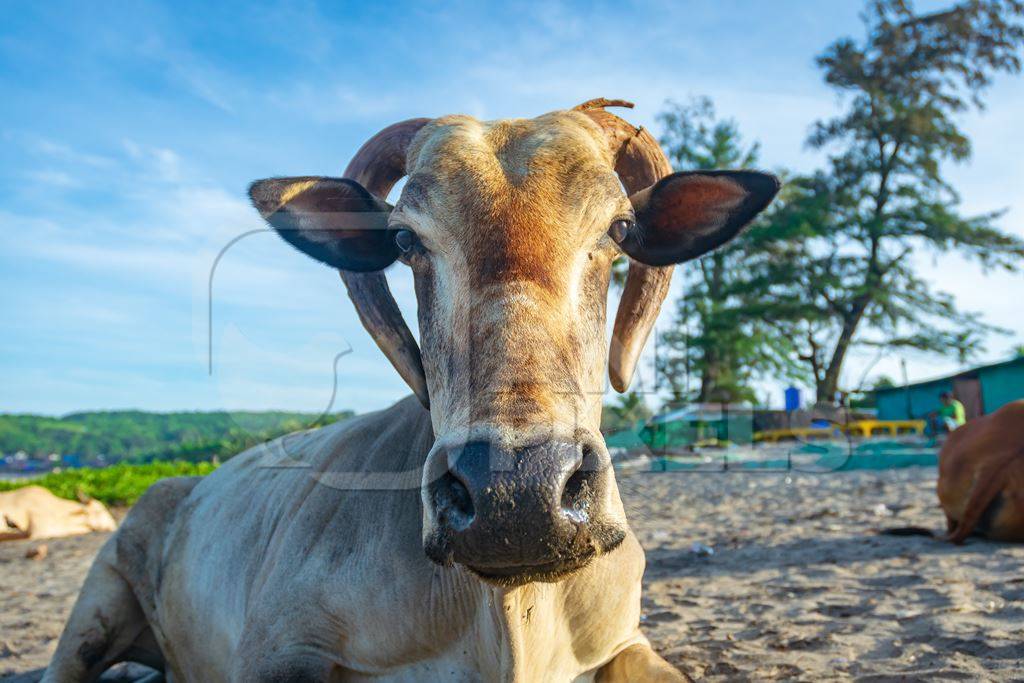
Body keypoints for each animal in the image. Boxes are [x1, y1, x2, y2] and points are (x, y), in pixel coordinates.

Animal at [41, 100, 774, 683]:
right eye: (403, 237)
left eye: (620, 229)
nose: (516, 494)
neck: (508, 614)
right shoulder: (281, 646)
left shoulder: (624, 639)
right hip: (97, 598)